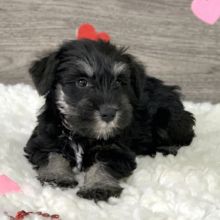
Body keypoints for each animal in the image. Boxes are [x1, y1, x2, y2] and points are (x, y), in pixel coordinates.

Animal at [24, 39, 196, 201]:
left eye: (118, 82)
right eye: (81, 82)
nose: (109, 113)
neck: (83, 134)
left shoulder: (115, 150)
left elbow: (102, 165)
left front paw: (99, 186)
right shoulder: (44, 140)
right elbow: (54, 155)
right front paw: (57, 175)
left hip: (170, 118)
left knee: (187, 136)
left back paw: (167, 148)